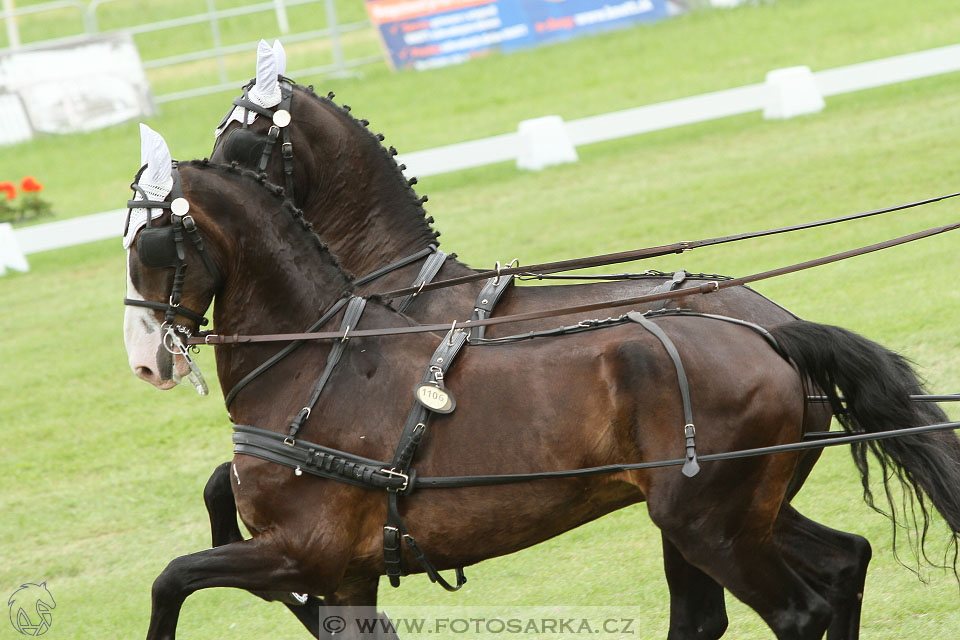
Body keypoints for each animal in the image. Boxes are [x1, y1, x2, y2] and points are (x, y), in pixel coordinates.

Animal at [125, 160, 960, 640]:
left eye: (149, 245)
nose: (146, 360)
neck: (317, 358)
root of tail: (772, 333)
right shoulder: (345, 573)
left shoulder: (301, 548)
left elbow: (171, 578)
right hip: (737, 510)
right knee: (837, 564)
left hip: (706, 524)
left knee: (791, 611)